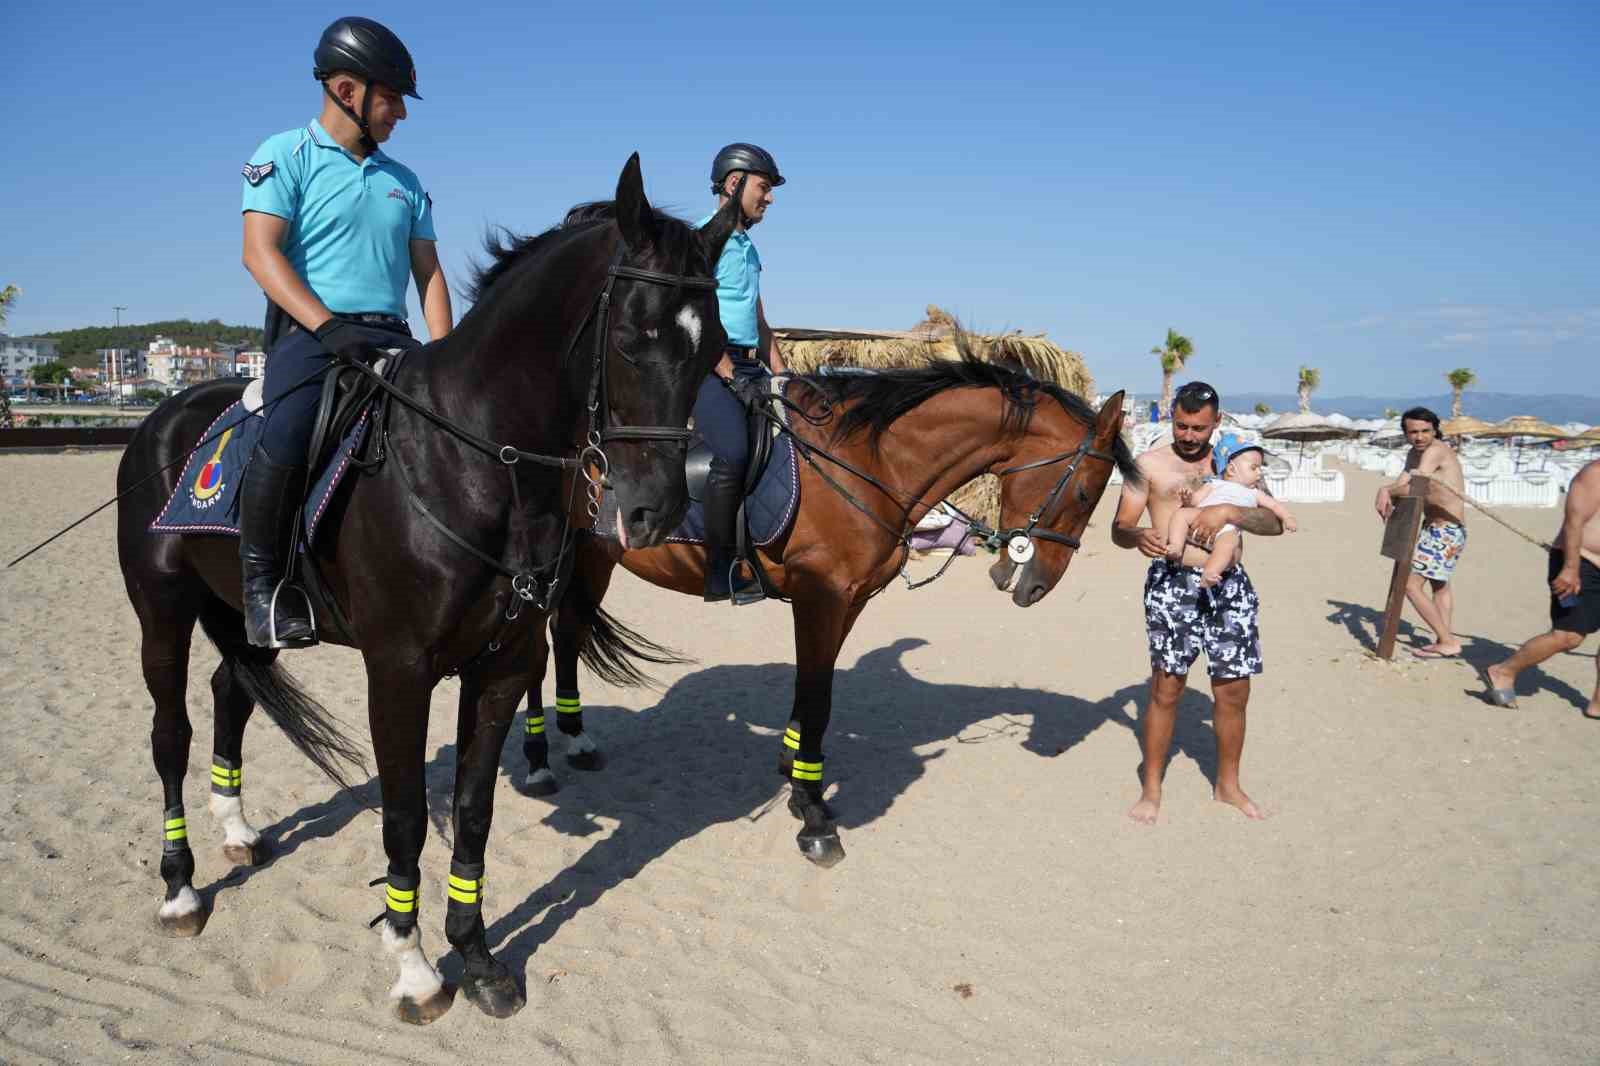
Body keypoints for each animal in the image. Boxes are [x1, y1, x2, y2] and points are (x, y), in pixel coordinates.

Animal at [116, 151, 739, 1024]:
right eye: (628, 336)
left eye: (712, 344)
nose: (656, 511)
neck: (477, 462)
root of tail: (161, 420)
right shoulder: (399, 671)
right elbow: (408, 816)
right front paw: (413, 965)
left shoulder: (504, 664)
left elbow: (473, 811)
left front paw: (475, 955)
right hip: (162, 613)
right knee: (169, 733)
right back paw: (180, 888)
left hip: (247, 616)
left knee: (229, 692)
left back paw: (236, 829)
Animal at [521, 348, 1126, 864]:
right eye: (1086, 491)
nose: (1034, 586)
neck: (872, 462)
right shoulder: (820, 595)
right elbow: (816, 699)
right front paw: (813, 815)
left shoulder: (848, 601)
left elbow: (816, 692)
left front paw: (796, 775)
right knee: (536, 653)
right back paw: (537, 761)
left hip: (592, 557)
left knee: (566, 635)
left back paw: (575, 740)